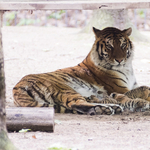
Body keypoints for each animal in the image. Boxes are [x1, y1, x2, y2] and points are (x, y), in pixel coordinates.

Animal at [12, 26, 150, 115]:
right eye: (109, 46)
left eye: (123, 45)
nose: (120, 60)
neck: (127, 67)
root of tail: (17, 87)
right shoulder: (120, 88)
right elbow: (143, 88)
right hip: (65, 89)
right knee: (76, 103)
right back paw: (107, 108)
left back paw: (108, 108)